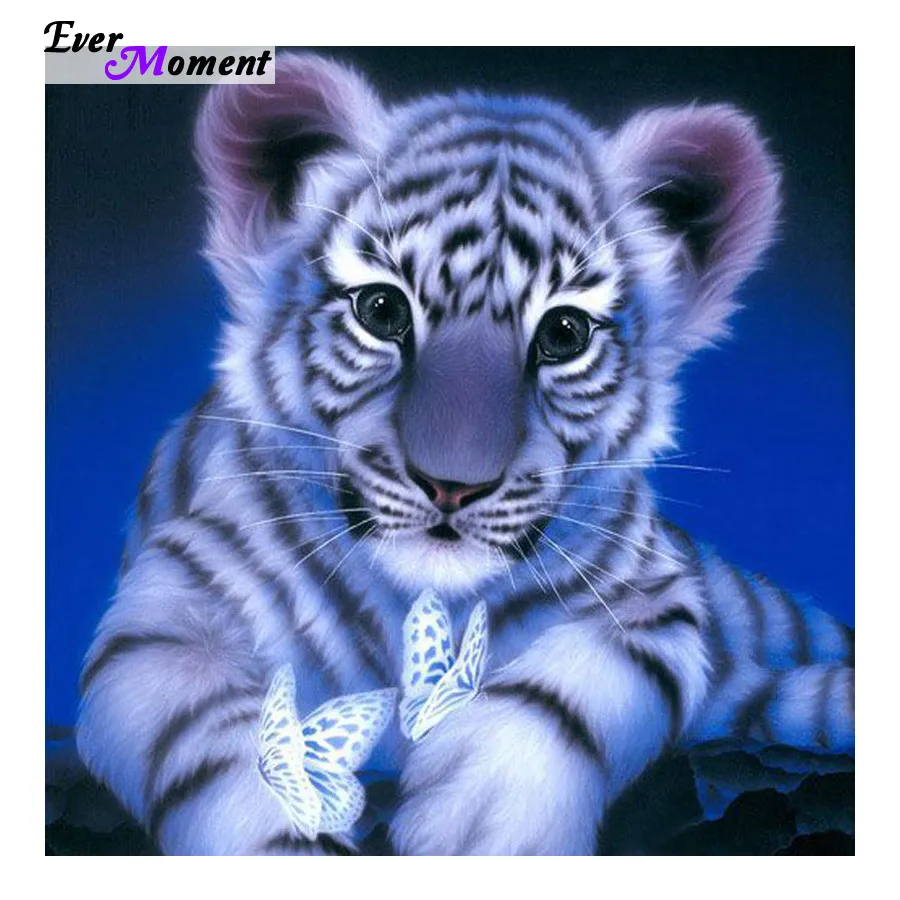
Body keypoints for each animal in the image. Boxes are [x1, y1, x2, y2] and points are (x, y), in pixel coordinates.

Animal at [75, 53, 855, 856]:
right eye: (381, 310)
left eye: (565, 333)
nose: (452, 486)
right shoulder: (168, 612)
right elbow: (224, 744)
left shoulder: (656, 597)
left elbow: (571, 688)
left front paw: (483, 819)